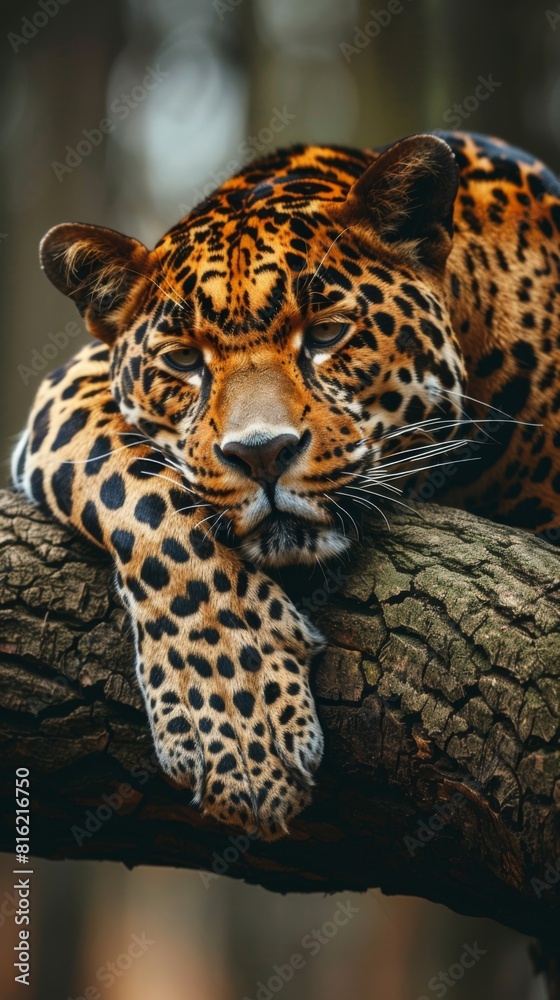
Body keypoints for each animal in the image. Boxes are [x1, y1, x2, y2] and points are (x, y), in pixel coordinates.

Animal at [12, 130, 560, 839]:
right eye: (183, 360)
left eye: (326, 333)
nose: (262, 454)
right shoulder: (70, 386)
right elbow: (146, 498)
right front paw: (239, 718)